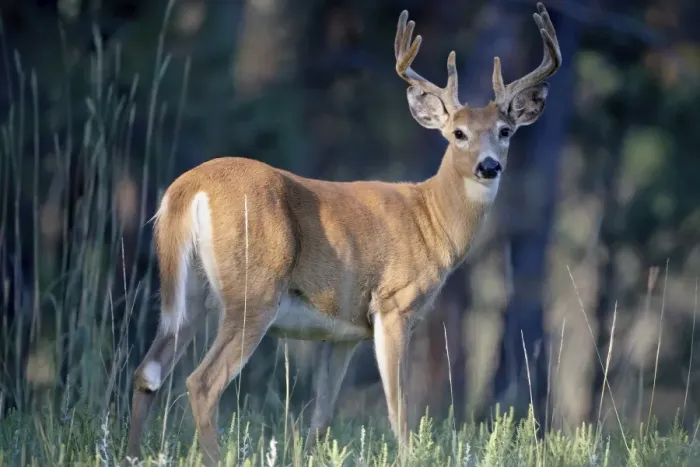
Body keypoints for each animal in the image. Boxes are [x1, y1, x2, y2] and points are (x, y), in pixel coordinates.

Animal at [123, 3, 561, 465]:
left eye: (505, 131)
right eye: (458, 134)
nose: (488, 166)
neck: (431, 218)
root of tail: (186, 189)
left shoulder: (342, 333)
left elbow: (320, 416)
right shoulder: (394, 304)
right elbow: (400, 408)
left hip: (188, 294)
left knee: (148, 371)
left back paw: (131, 453)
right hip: (253, 291)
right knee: (202, 383)